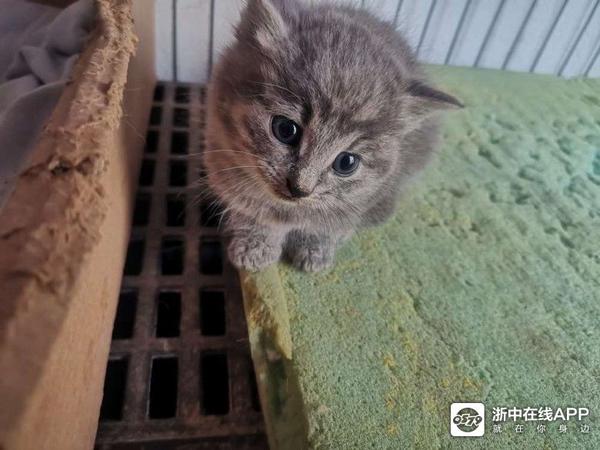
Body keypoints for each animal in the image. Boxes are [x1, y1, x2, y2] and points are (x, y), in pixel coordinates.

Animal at [203, 0, 462, 272]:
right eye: (285, 130)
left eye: (346, 163)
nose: (299, 188)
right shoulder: (223, 167)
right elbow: (253, 213)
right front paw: (255, 245)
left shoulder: (360, 201)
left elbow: (329, 225)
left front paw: (314, 248)